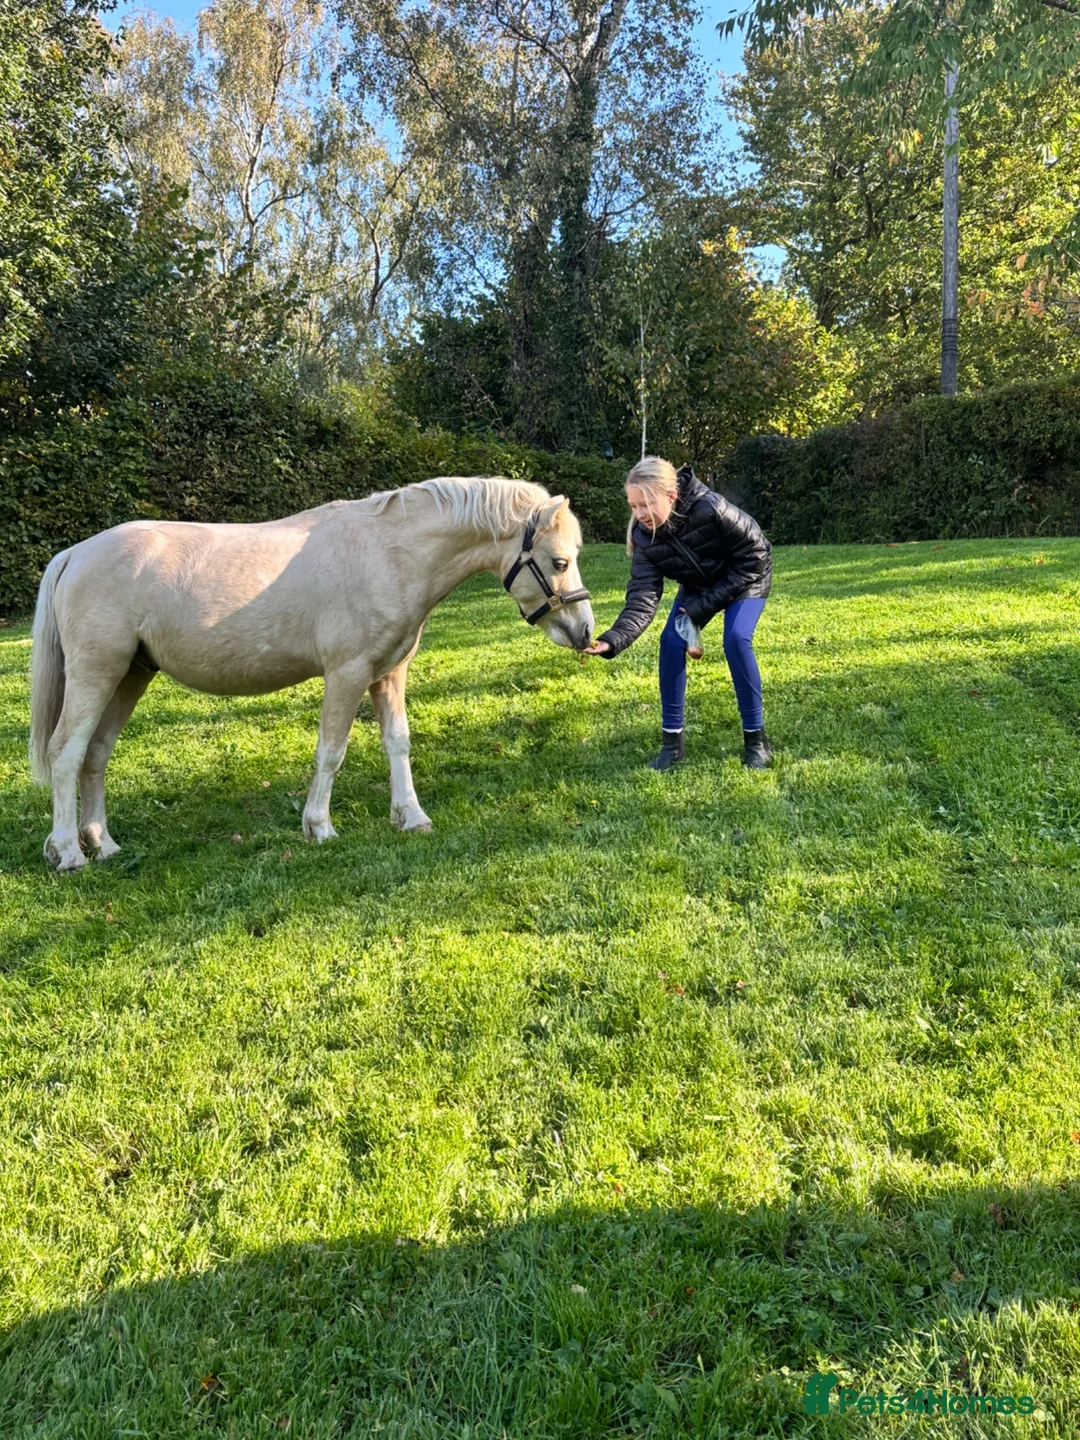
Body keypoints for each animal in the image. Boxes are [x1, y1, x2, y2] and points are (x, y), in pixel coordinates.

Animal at [28, 476, 594, 870]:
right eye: (560, 562)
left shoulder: (388, 674)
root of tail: (76, 553)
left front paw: (411, 817)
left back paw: (103, 844)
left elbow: (398, 743)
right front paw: (319, 827)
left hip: (129, 675)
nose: (585, 630)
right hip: (96, 673)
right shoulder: (346, 673)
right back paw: (68, 853)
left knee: (95, 755)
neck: (387, 554)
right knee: (66, 753)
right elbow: (331, 751)